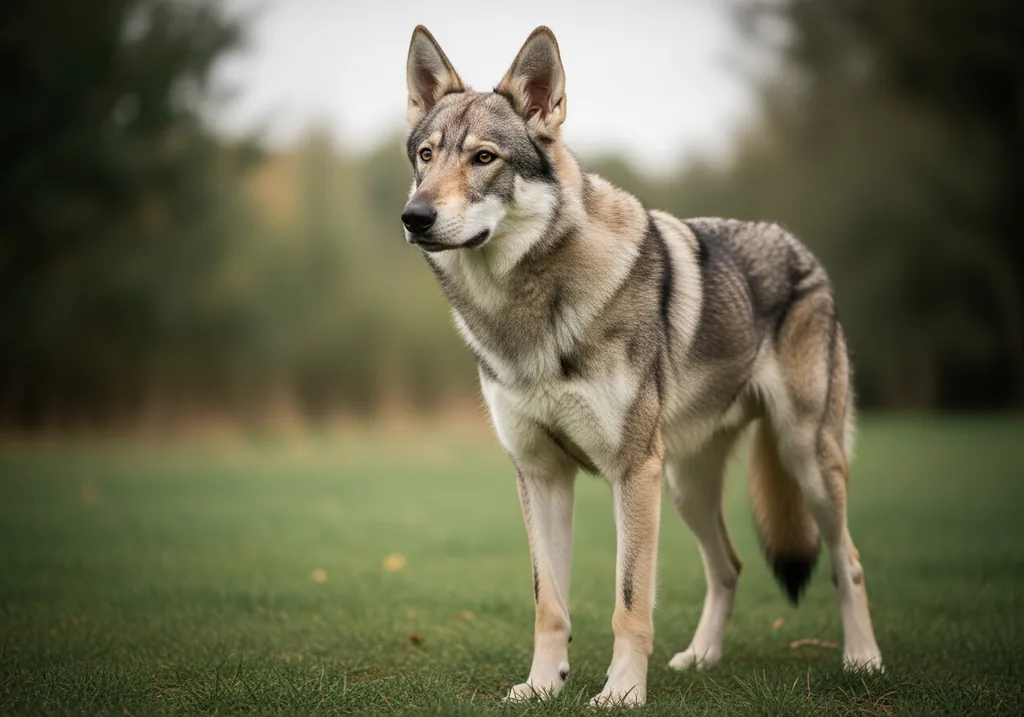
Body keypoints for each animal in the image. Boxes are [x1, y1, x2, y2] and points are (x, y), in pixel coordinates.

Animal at [400, 25, 884, 707]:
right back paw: (700, 657)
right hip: (686, 486)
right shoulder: (540, 474)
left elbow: (629, 603)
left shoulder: (632, 471)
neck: (528, 312)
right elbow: (549, 603)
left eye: (484, 158)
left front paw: (622, 693)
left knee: (849, 561)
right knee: (729, 567)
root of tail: (796, 244)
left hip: (804, 462)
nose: (415, 217)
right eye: (425, 155)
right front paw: (542, 686)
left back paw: (863, 659)